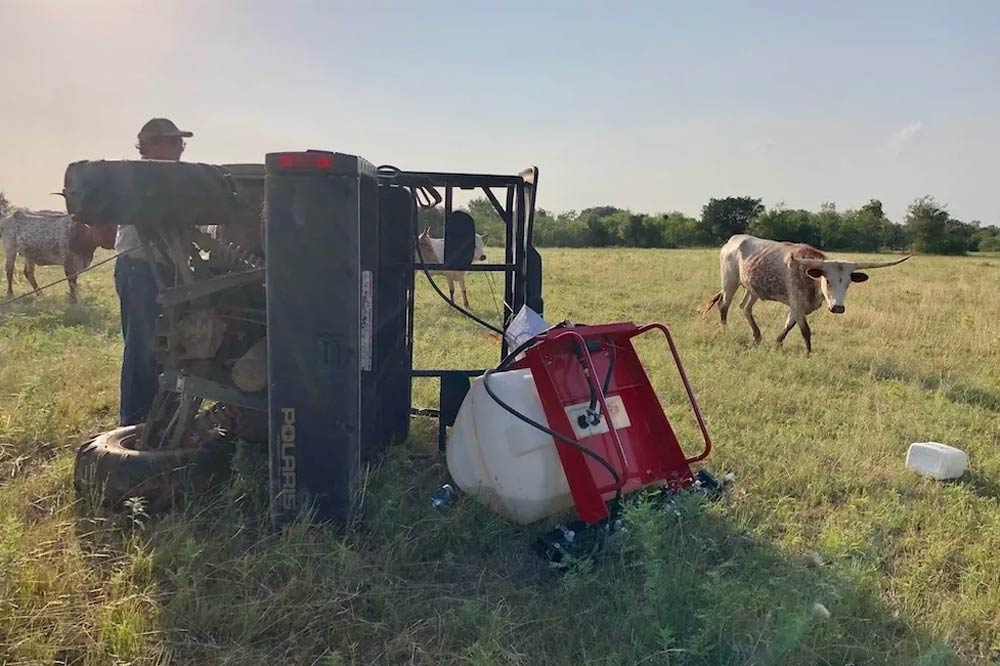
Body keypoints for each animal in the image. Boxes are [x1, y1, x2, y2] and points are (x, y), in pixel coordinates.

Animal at [704, 236, 908, 356]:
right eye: (827, 280)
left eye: (848, 282)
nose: (838, 308)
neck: (810, 279)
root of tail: (733, 240)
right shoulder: (796, 303)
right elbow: (805, 331)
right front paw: (808, 353)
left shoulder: (800, 307)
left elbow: (789, 326)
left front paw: (777, 343)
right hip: (730, 281)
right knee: (724, 304)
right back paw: (725, 330)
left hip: (752, 287)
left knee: (745, 307)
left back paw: (757, 335)